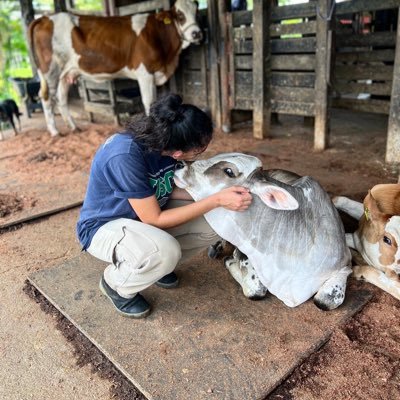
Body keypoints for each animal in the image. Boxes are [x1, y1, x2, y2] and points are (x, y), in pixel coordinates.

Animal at [28, 0, 202, 137]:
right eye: (180, 15)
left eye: (197, 12)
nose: (197, 34)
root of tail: (45, 17)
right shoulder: (145, 73)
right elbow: (148, 101)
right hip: (50, 70)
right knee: (46, 97)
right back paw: (55, 131)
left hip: (65, 73)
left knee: (61, 98)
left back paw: (74, 127)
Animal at [173, 152, 352, 310]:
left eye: (229, 171)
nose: (180, 164)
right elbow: (256, 290)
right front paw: (230, 260)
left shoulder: (346, 263)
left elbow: (325, 301)